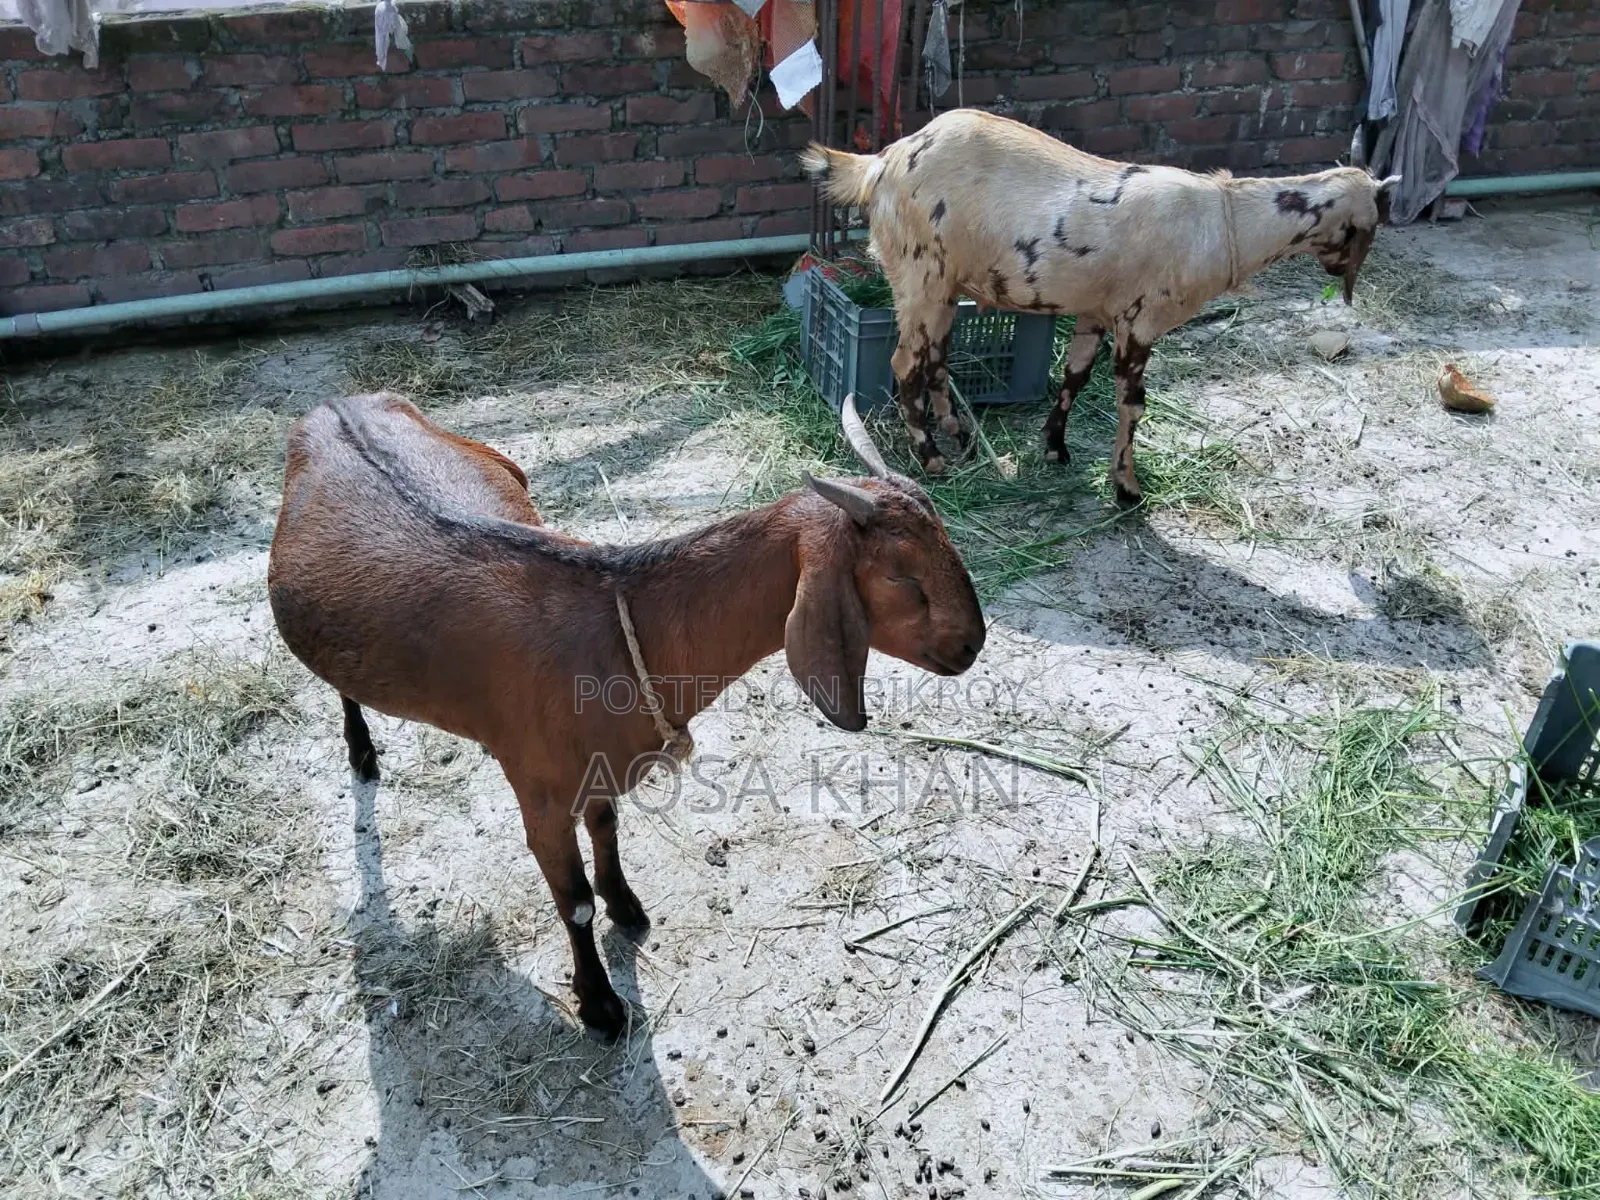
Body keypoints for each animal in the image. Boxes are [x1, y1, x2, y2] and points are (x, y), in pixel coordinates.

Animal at [267, 392, 985, 1037]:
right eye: (902, 579)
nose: (971, 645)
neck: (618, 628)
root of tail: (334, 403)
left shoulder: (599, 769)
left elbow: (608, 829)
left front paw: (629, 906)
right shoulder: (540, 796)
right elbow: (576, 904)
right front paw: (602, 1007)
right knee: (341, 688)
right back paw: (361, 753)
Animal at [802, 109, 1399, 505]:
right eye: (1373, 220)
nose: (1339, 275)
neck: (1221, 220)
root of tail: (881, 162)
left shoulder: (1095, 311)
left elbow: (1074, 376)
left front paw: (1054, 447)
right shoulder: (1141, 322)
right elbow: (1131, 404)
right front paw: (1127, 488)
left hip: (943, 287)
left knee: (936, 360)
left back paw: (964, 438)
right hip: (920, 274)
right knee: (906, 364)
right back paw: (933, 460)